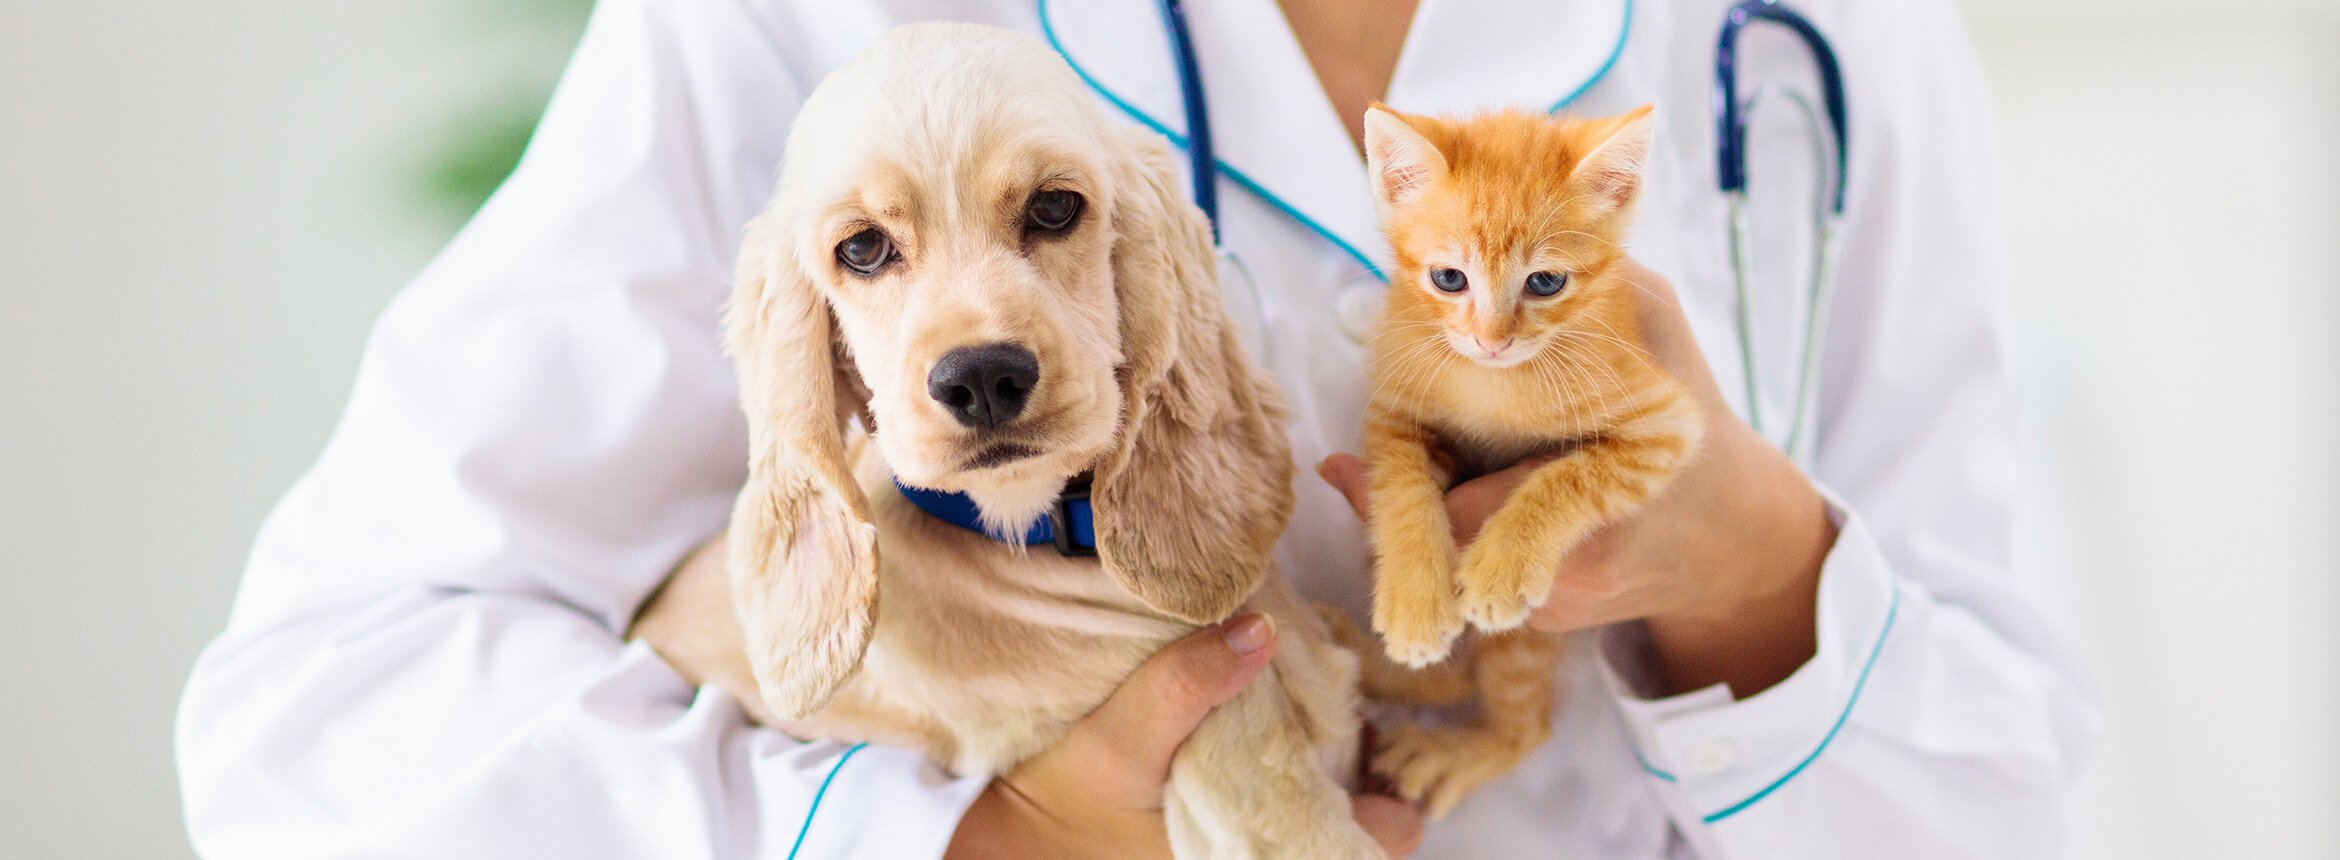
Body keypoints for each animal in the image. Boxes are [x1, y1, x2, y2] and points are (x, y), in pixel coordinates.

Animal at [1357, 103, 1703, 817]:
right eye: (1448, 278)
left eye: (1545, 282)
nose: (1493, 341)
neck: (1495, 384)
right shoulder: (1394, 409)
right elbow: (1401, 489)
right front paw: (1415, 601)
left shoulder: (1665, 423)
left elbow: (1572, 476)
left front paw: (1503, 566)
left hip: (1528, 641)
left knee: (1525, 722)